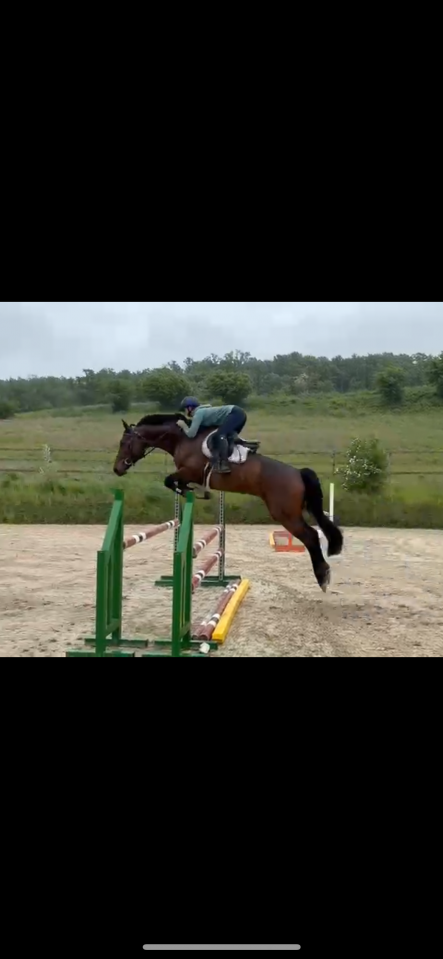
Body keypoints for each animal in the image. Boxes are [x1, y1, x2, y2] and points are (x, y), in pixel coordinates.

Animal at [113, 413, 343, 591]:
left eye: (124, 443)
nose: (117, 469)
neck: (182, 439)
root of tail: (297, 473)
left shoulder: (190, 471)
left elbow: (170, 481)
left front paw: (191, 491)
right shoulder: (188, 474)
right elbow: (174, 482)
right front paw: (195, 491)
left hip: (285, 514)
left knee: (311, 536)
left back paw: (323, 577)